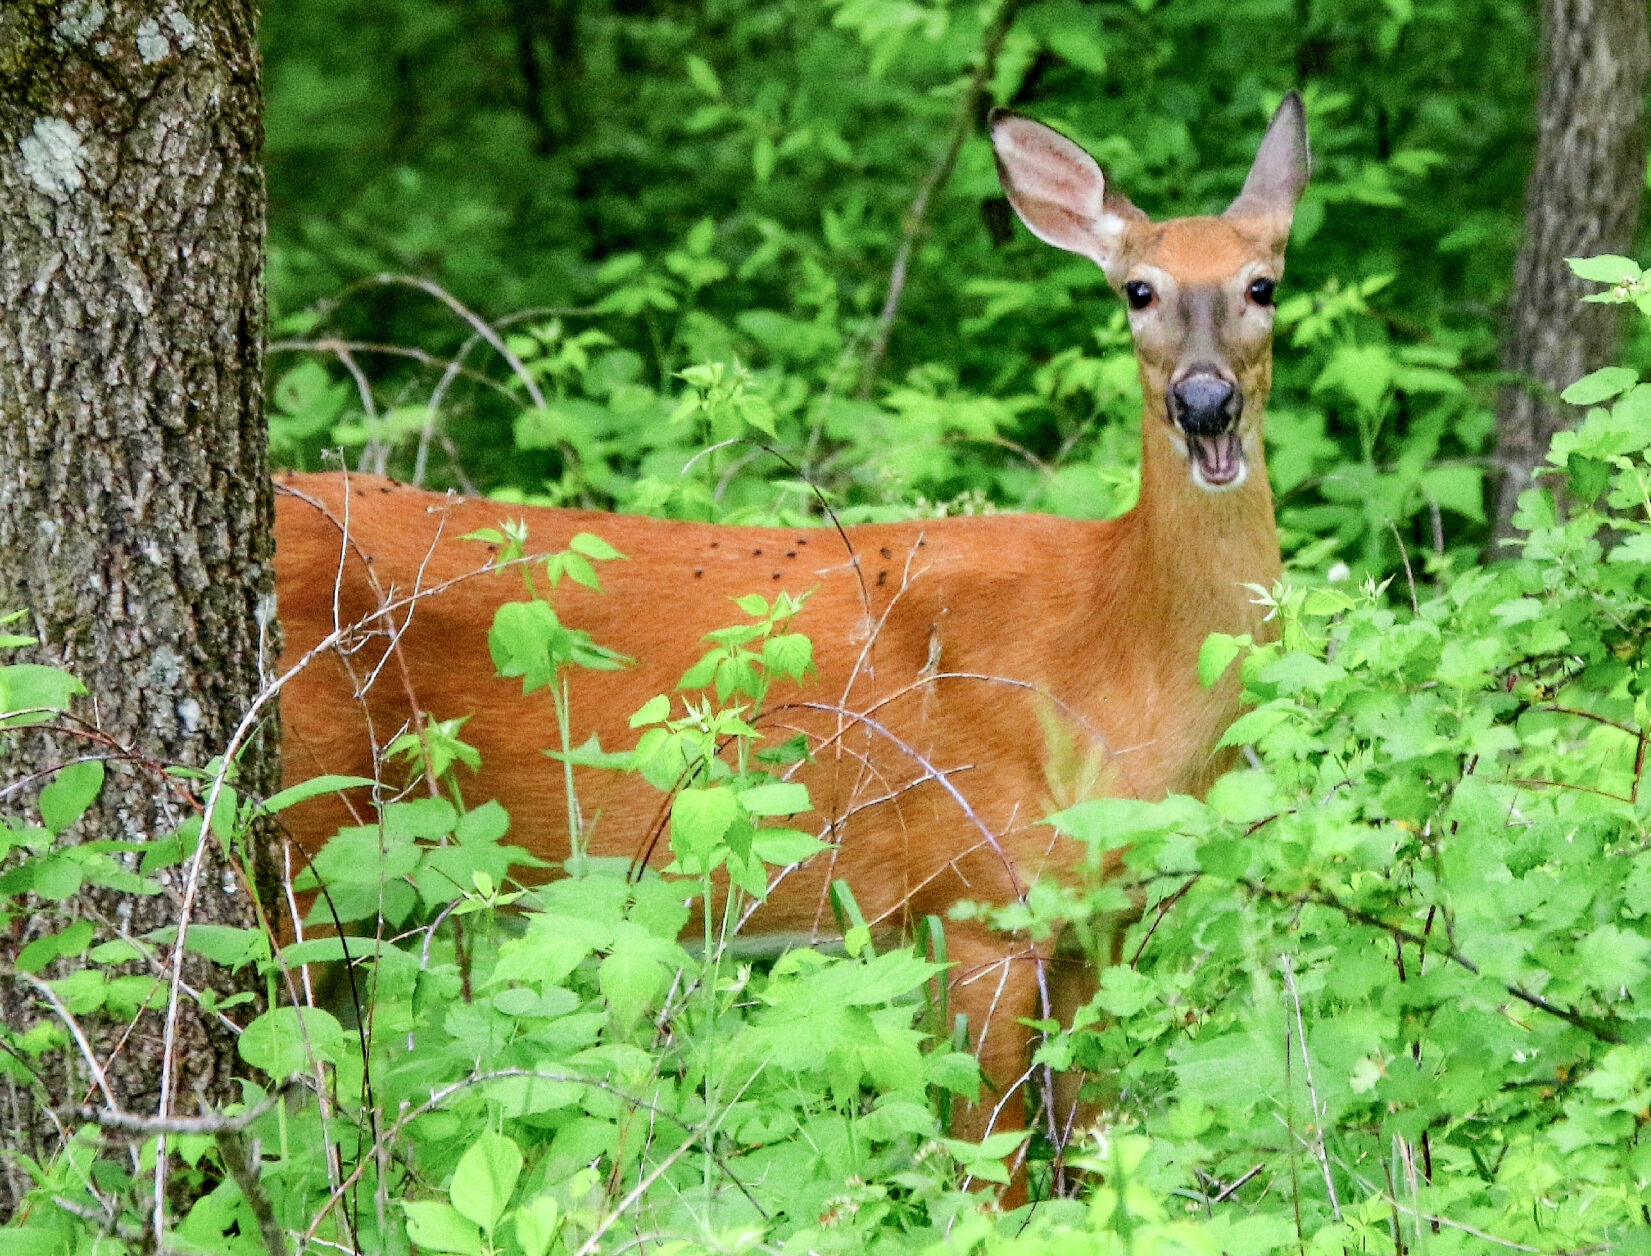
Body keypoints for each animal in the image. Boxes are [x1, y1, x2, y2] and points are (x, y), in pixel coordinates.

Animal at [272, 93, 1309, 1201]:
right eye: (1137, 290)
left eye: (1261, 283)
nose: (1203, 403)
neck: (1112, 655)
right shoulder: (973, 893)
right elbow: (990, 1167)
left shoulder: (1096, 923)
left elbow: (1096, 1146)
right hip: (302, 828)